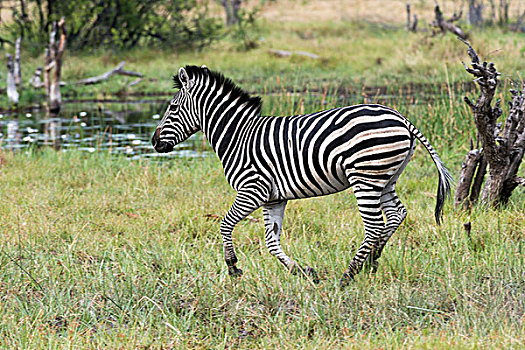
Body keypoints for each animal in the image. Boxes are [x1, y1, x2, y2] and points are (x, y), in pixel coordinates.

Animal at [150, 65, 450, 288]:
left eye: (172, 108)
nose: (154, 142)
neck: (238, 136)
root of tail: (400, 116)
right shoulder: (273, 198)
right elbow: (272, 242)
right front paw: (303, 271)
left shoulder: (252, 189)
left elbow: (225, 224)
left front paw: (233, 267)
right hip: (385, 179)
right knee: (397, 214)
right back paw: (372, 260)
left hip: (365, 177)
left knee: (375, 225)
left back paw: (349, 274)